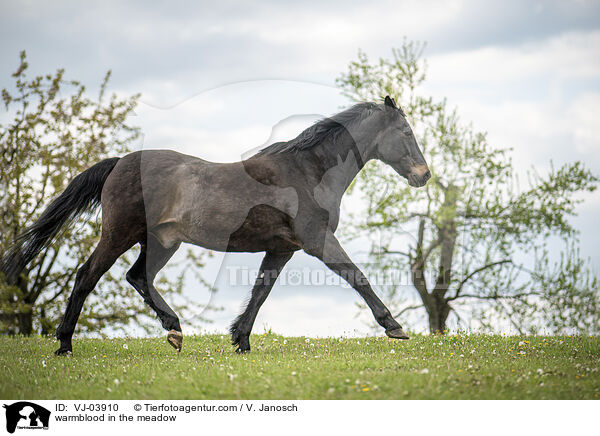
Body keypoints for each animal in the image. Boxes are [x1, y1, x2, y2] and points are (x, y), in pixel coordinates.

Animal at [2, 95, 428, 354]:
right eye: (406, 132)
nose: (424, 175)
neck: (308, 172)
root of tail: (120, 161)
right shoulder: (317, 240)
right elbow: (358, 276)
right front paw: (395, 326)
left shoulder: (282, 247)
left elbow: (261, 291)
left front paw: (240, 340)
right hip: (119, 234)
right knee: (86, 276)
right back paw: (64, 344)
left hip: (161, 242)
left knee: (138, 277)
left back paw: (174, 330)